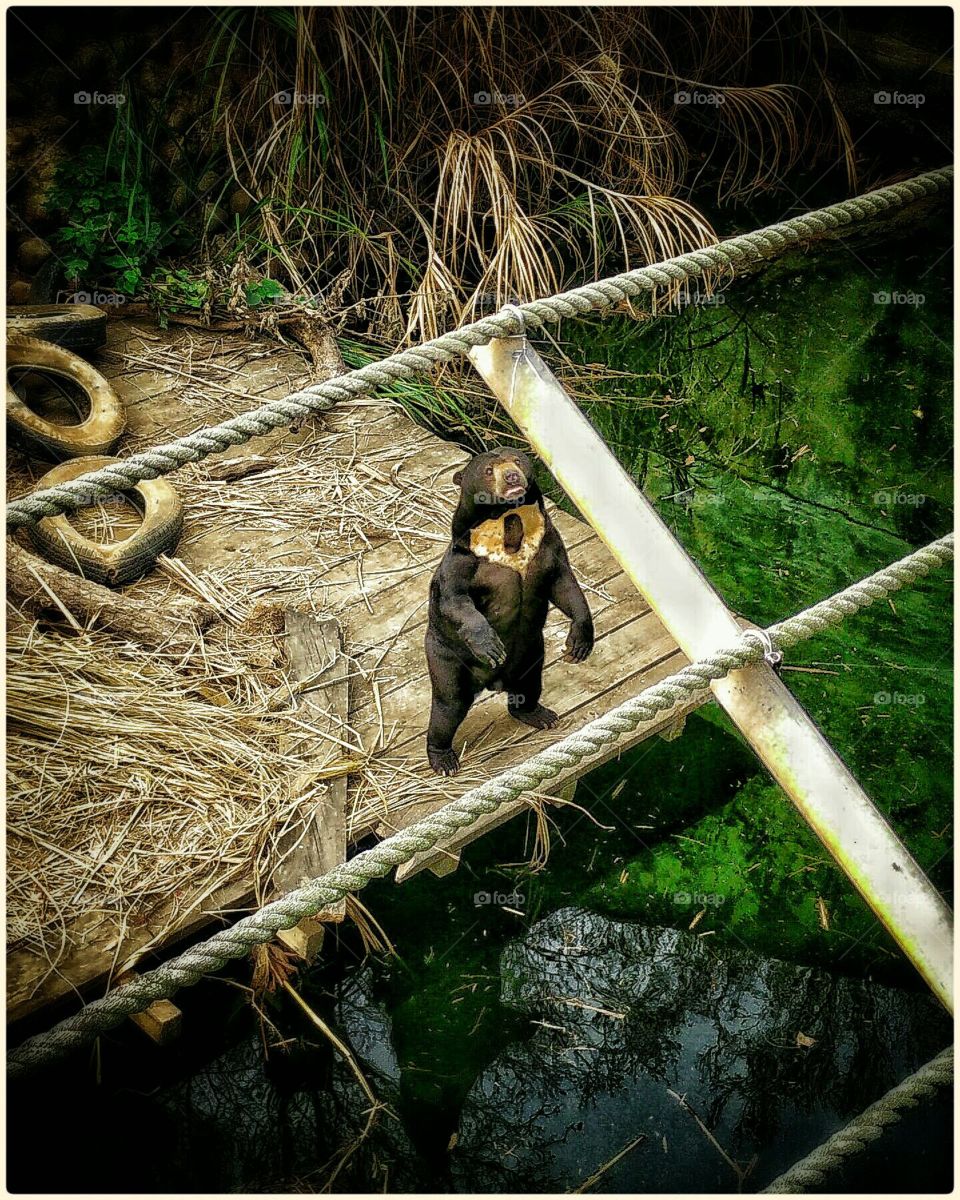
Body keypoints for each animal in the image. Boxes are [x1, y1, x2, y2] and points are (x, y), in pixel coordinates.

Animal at [424, 447, 594, 775]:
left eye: (516, 461)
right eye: (489, 470)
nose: (513, 477)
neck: (508, 522)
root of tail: (494, 682)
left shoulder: (548, 543)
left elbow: (564, 584)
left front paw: (578, 644)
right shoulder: (463, 560)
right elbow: (455, 599)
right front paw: (490, 645)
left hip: (531, 654)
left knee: (529, 685)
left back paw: (540, 715)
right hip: (444, 655)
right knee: (448, 705)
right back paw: (444, 760)